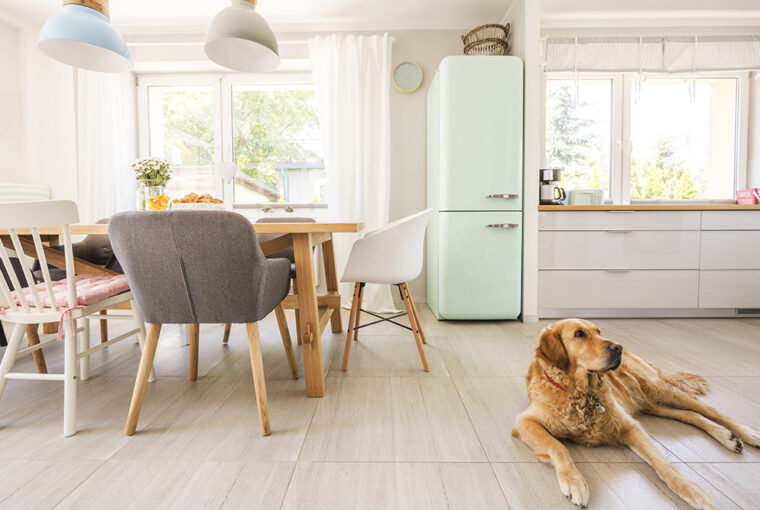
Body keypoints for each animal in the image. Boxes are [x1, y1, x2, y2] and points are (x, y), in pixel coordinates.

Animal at [510, 318, 760, 510]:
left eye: (599, 331)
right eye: (579, 334)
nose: (618, 347)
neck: (581, 393)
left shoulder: (629, 426)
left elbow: (661, 462)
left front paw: (691, 490)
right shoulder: (525, 422)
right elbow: (558, 447)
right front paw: (575, 483)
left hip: (659, 390)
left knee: (709, 410)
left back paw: (747, 434)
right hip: (652, 404)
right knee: (692, 415)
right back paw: (728, 437)